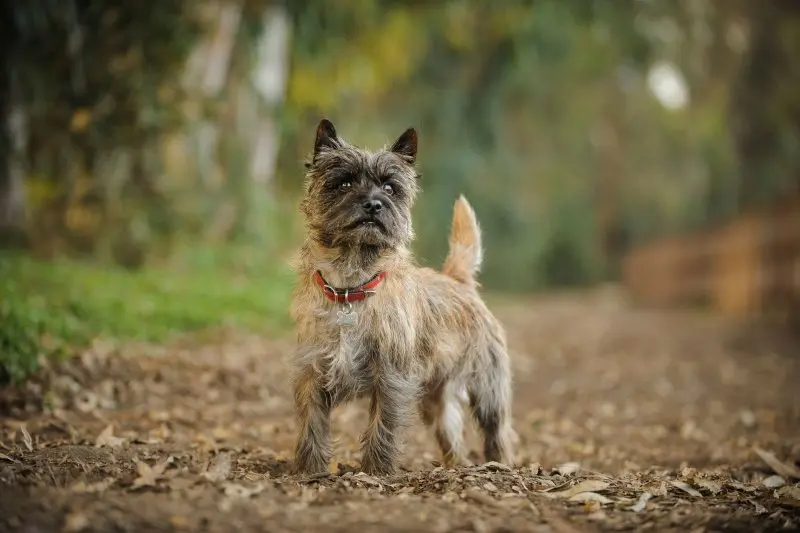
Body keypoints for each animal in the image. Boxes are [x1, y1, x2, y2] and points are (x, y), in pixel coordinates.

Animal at [290, 119, 516, 474]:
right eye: (344, 182)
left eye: (390, 188)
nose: (373, 204)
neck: (351, 285)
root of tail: (457, 279)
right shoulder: (313, 371)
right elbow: (311, 423)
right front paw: (309, 470)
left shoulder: (392, 378)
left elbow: (383, 425)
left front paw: (376, 470)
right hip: (438, 399)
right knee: (452, 434)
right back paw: (457, 465)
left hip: (488, 388)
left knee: (498, 430)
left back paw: (500, 464)